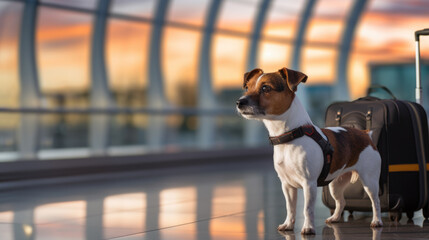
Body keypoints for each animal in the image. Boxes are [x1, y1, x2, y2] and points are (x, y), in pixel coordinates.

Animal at [236, 67, 382, 234]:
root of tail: (365, 134)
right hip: (335, 184)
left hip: (369, 181)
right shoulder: (287, 185)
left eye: (265, 88)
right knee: (341, 201)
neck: (290, 135)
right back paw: (335, 218)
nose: (239, 102)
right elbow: (290, 208)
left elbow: (307, 209)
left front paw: (308, 227)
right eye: (247, 87)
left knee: (375, 201)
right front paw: (288, 224)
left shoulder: (309, 184)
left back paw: (377, 221)